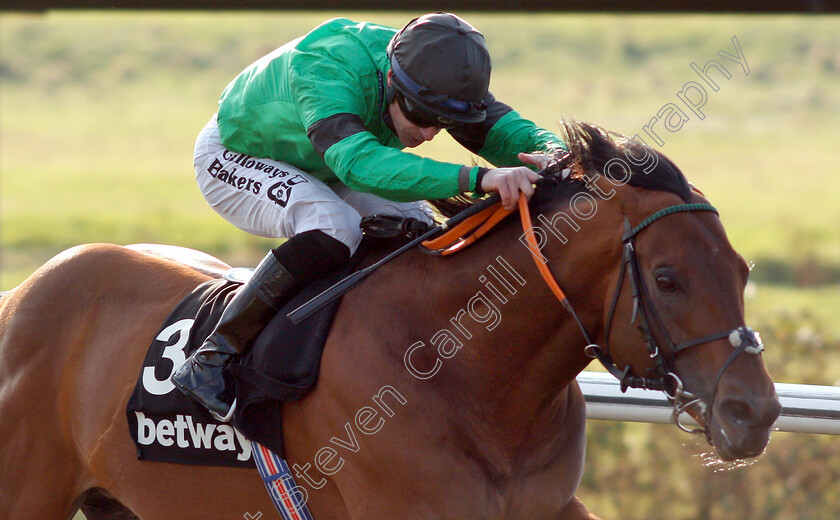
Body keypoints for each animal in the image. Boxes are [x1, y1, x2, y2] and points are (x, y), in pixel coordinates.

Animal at [1, 120, 780, 516]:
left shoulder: (548, 507)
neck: (468, 372)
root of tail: (22, 294)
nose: (756, 412)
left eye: (743, 270)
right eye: (669, 278)